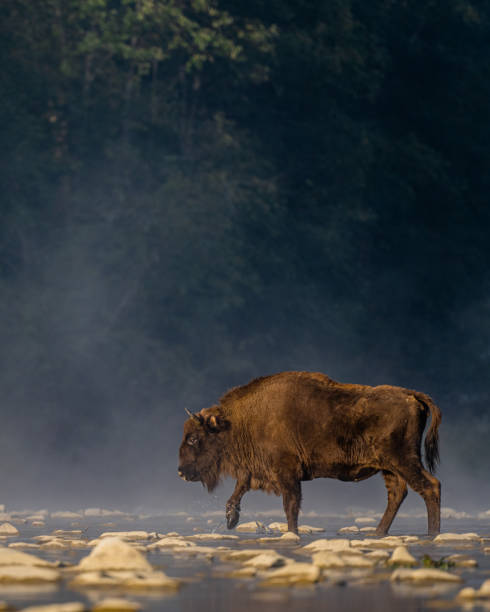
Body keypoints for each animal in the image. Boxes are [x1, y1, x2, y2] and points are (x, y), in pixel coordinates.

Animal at [178, 370, 442, 532]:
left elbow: (291, 506)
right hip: (389, 467)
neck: (240, 420)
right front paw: (231, 521)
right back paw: (378, 533)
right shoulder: (256, 470)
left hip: (403, 460)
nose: (181, 472)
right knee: (398, 494)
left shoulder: (286, 473)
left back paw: (432, 533)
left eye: (193, 438)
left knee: (430, 486)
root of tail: (411, 395)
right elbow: (236, 493)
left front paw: (292, 533)